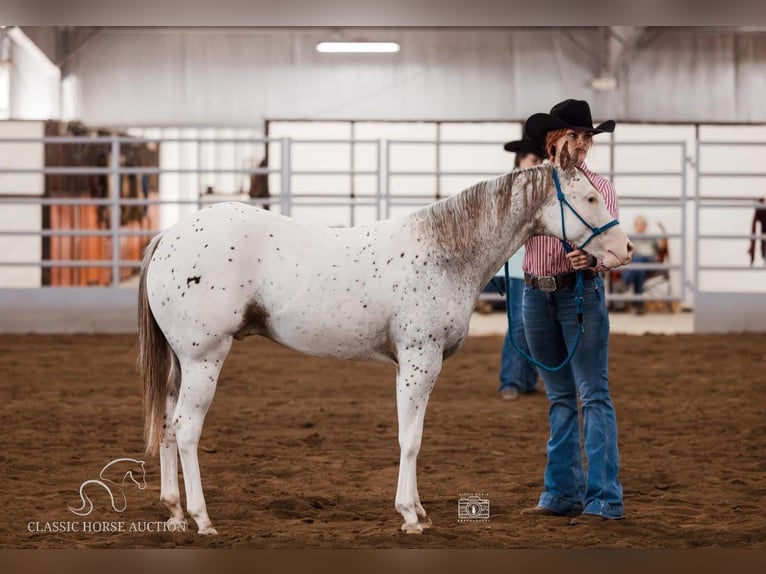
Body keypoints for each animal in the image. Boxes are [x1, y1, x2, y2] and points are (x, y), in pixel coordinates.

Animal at [138, 156, 636, 536]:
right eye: (590, 198)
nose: (626, 248)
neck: (445, 253)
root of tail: (169, 236)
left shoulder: (409, 365)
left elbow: (410, 436)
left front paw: (419, 511)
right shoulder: (420, 361)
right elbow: (410, 439)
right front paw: (410, 517)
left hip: (182, 363)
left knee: (167, 423)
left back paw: (176, 513)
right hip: (205, 357)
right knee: (186, 429)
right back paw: (202, 519)